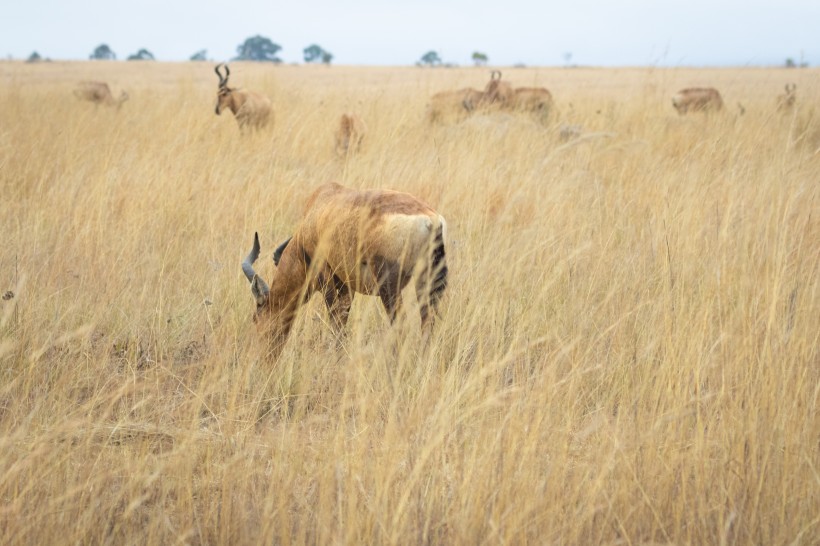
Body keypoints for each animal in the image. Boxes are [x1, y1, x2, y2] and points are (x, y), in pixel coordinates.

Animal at [242, 182, 448, 356]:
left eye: (255, 318)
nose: (265, 357)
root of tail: (431, 221)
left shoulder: (327, 277)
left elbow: (336, 321)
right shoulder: (346, 286)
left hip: (388, 285)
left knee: (400, 324)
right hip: (427, 279)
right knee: (427, 321)